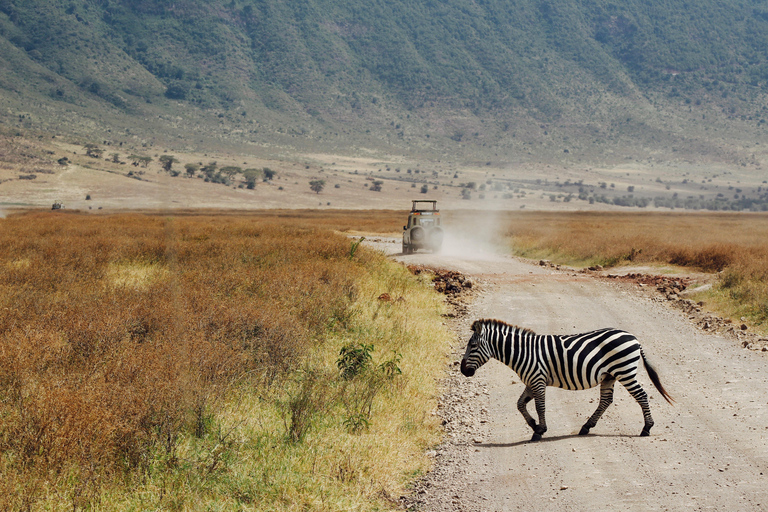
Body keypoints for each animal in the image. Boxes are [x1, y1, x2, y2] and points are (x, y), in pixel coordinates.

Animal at [462, 318, 672, 442]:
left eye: (473, 345)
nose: (462, 370)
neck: (523, 353)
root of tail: (633, 337)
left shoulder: (537, 379)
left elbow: (540, 406)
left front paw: (540, 430)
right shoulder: (531, 381)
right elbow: (520, 404)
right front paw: (534, 425)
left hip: (624, 371)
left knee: (641, 395)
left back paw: (646, 428)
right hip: (609, 376)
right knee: (606, 400)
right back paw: (586, 427)